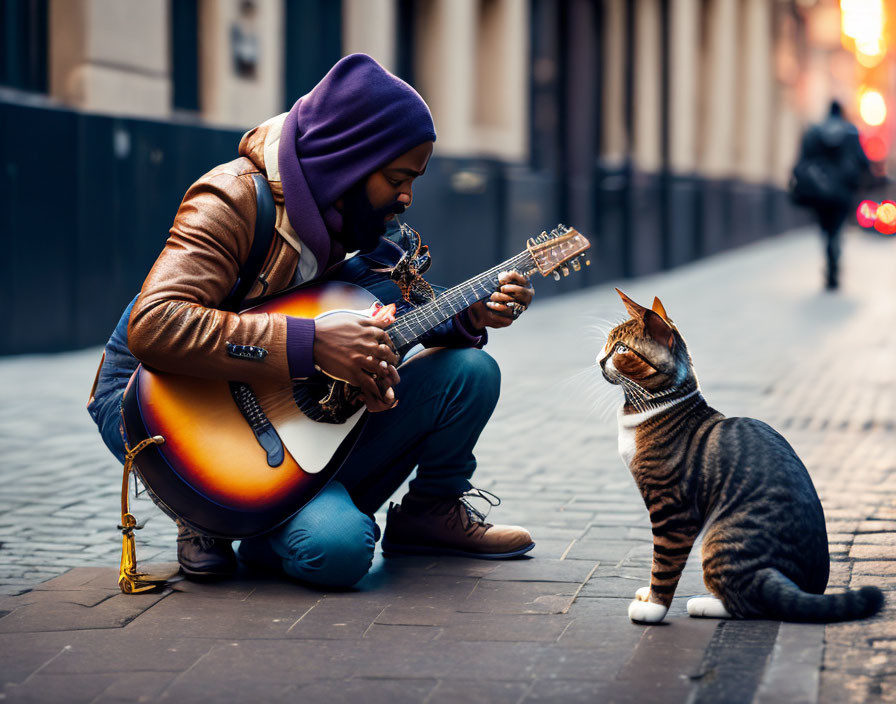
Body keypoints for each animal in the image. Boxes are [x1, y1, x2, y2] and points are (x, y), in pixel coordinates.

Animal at [600, 288, 884, 624]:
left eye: (621, 349)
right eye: (608, 341)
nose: (600, 359)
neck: (650, 406)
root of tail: (801, 585)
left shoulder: (673, 511)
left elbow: (664, 564)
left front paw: (654, 607)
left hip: (720, 537)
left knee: (752, 603)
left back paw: (704, 603)